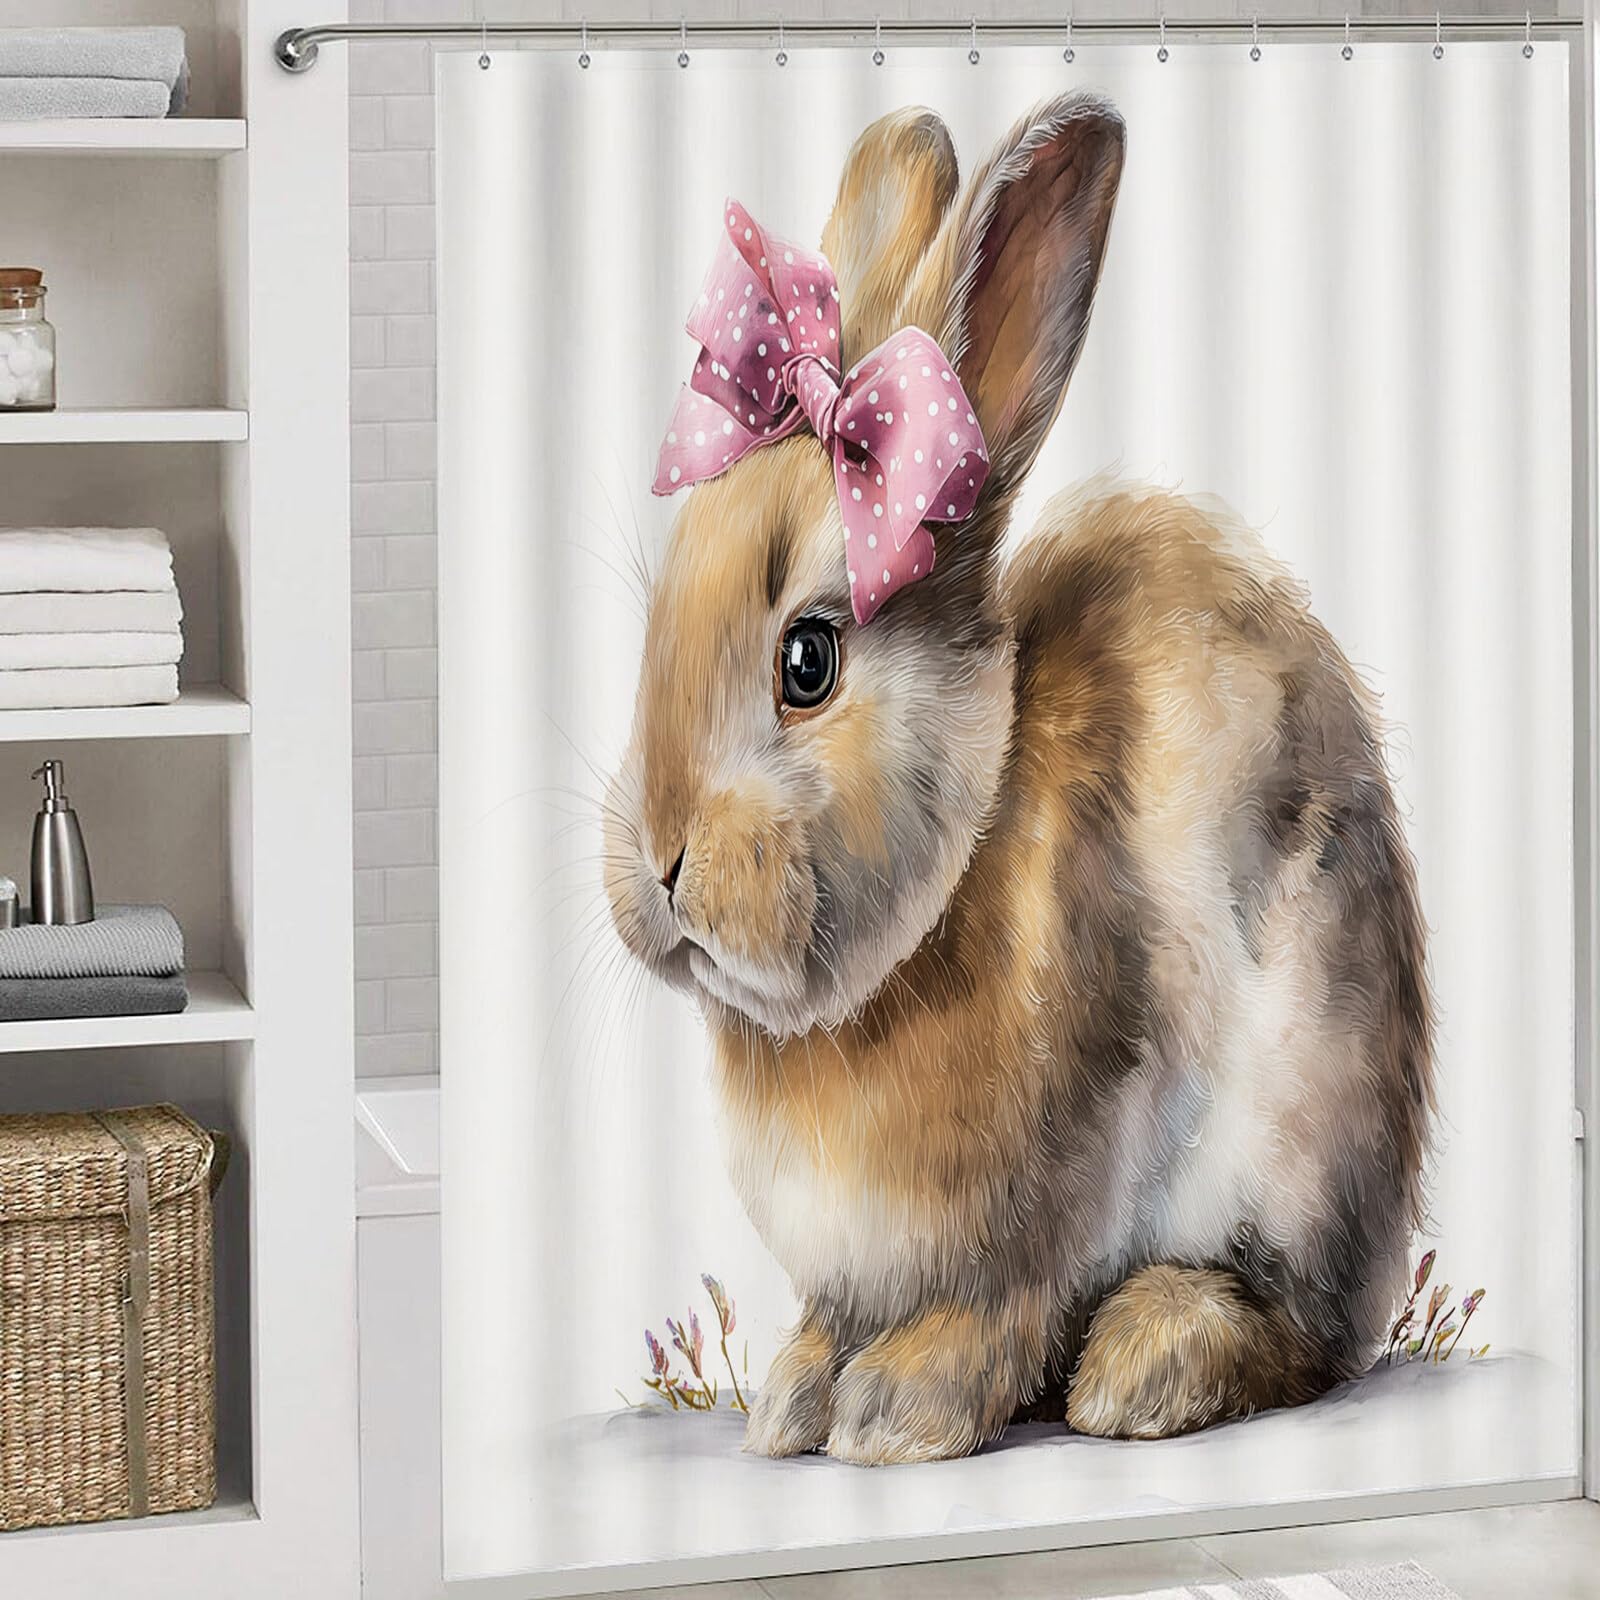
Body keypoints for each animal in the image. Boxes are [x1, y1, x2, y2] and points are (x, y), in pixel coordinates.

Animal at [603, 92, 1435, 1466]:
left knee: (1303, 1334)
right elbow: (832, 1320)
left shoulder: (1073, 1150)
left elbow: (1005, 1302)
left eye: (808, 659)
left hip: (1309, 1105)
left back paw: (1143, 1364)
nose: (658, 864)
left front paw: (896, 1412)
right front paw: (790, 1401)